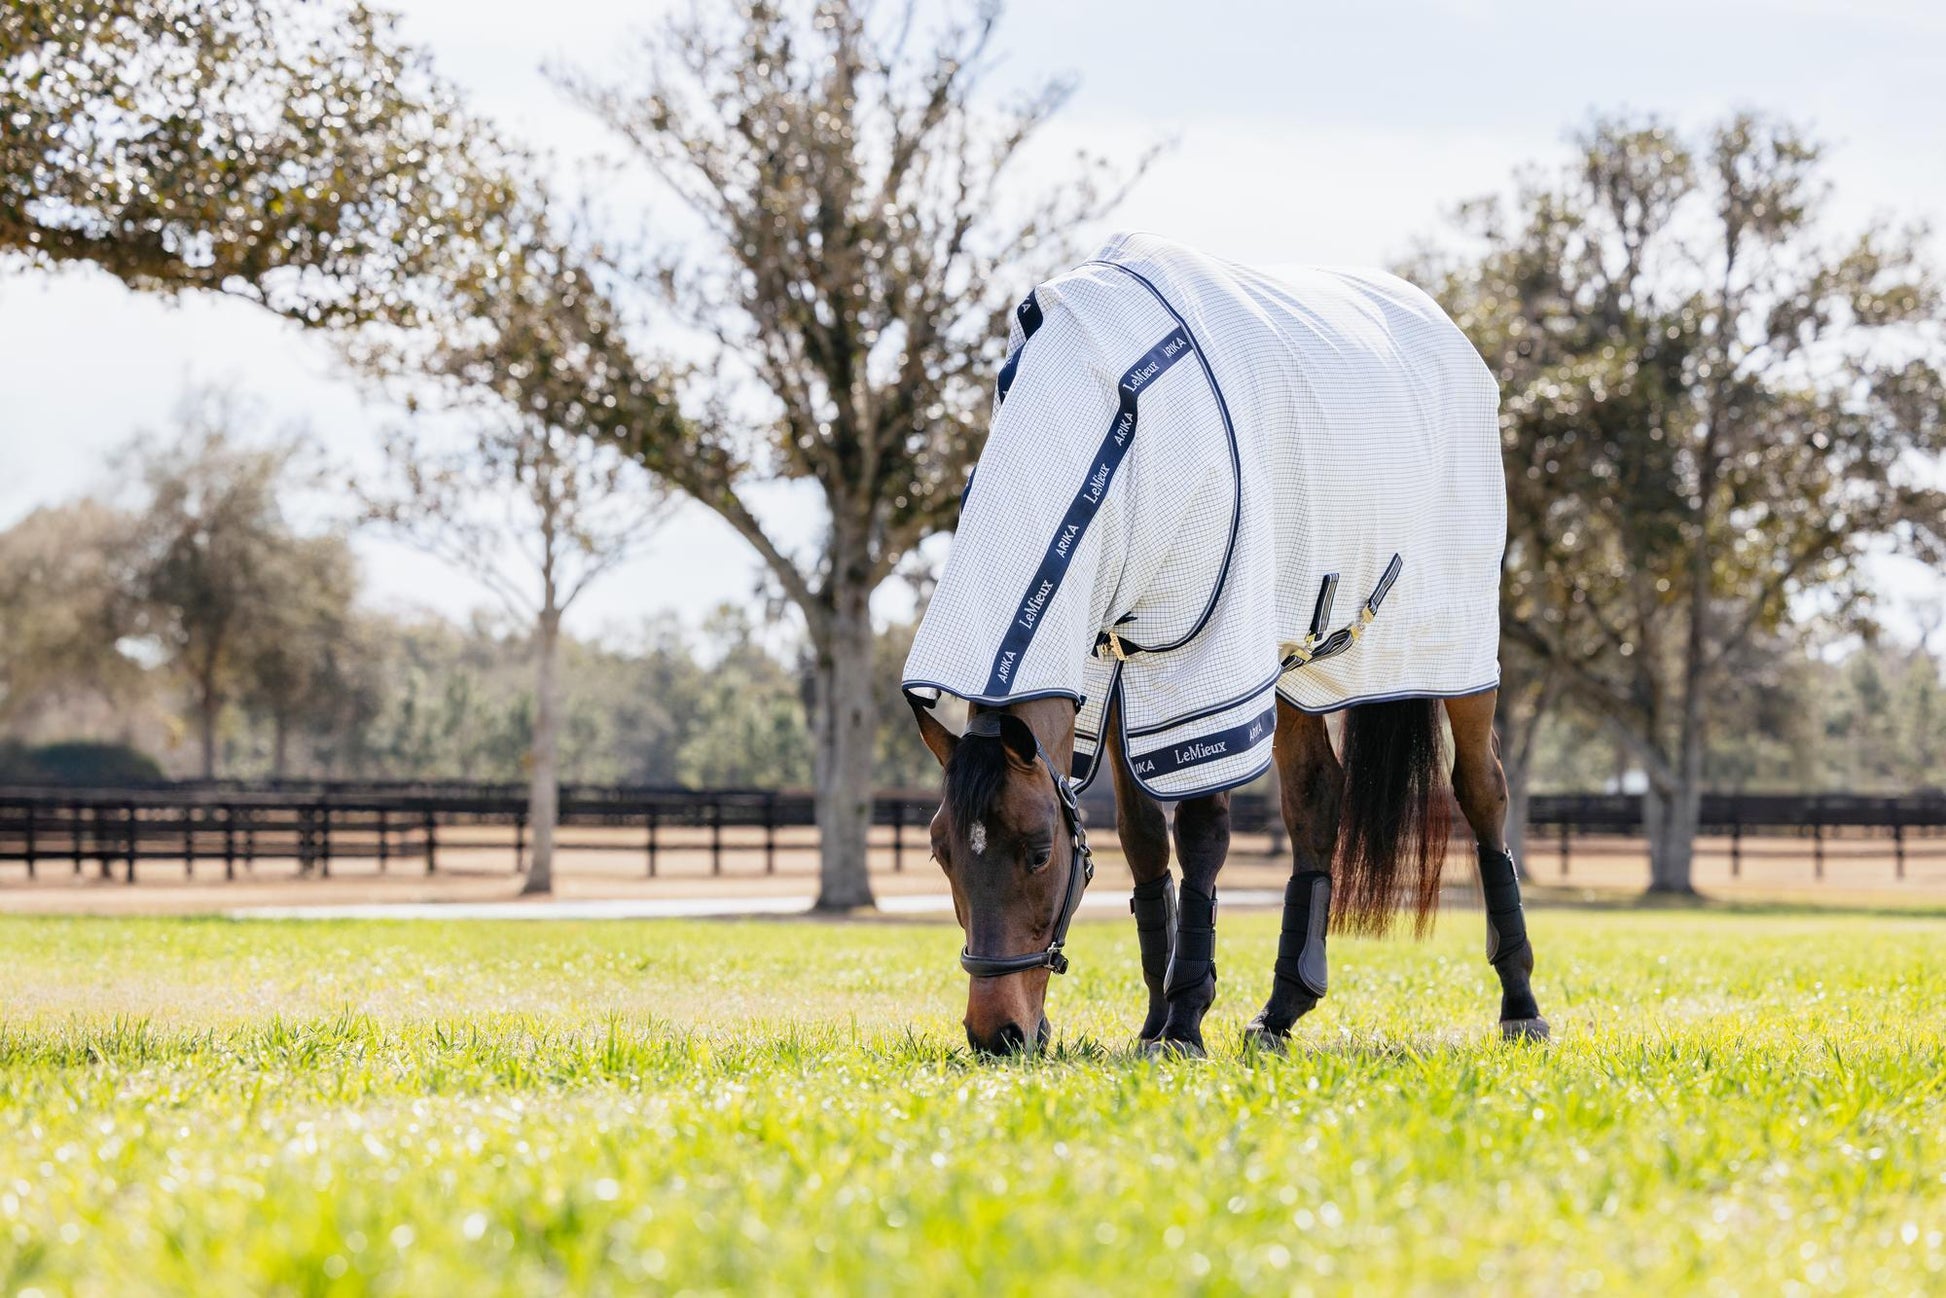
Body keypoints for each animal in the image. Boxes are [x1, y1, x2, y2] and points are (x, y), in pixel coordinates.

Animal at [902, 232, 1547, 1056]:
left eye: (1040, 850)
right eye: (940, 851)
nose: (1000, 1035)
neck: (1116, 432)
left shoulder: (1198, 665)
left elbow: (1202, 834)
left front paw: (1183, 1020)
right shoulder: (1111, 665)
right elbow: (1145, 842)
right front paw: (1156, 1015)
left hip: (1459, 664)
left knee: (1483, 793)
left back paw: (1521, 1005)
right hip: (1289, 671)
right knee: (1316, 802)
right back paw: (1283, 1009)